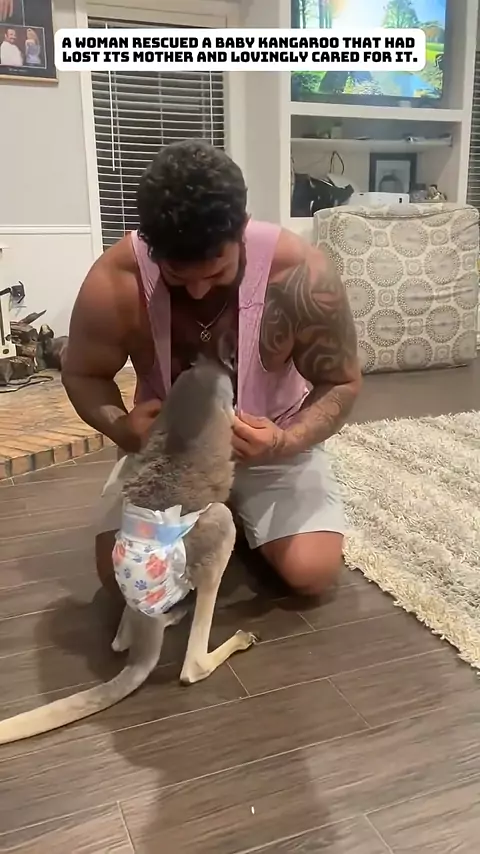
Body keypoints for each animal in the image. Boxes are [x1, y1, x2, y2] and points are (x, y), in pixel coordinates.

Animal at [0, 359, 256, 745]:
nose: (216, 364)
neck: (196, 387)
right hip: (217, 528)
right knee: (191, 667)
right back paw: (232, 640)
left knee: (118, 643)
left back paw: (163, 621)